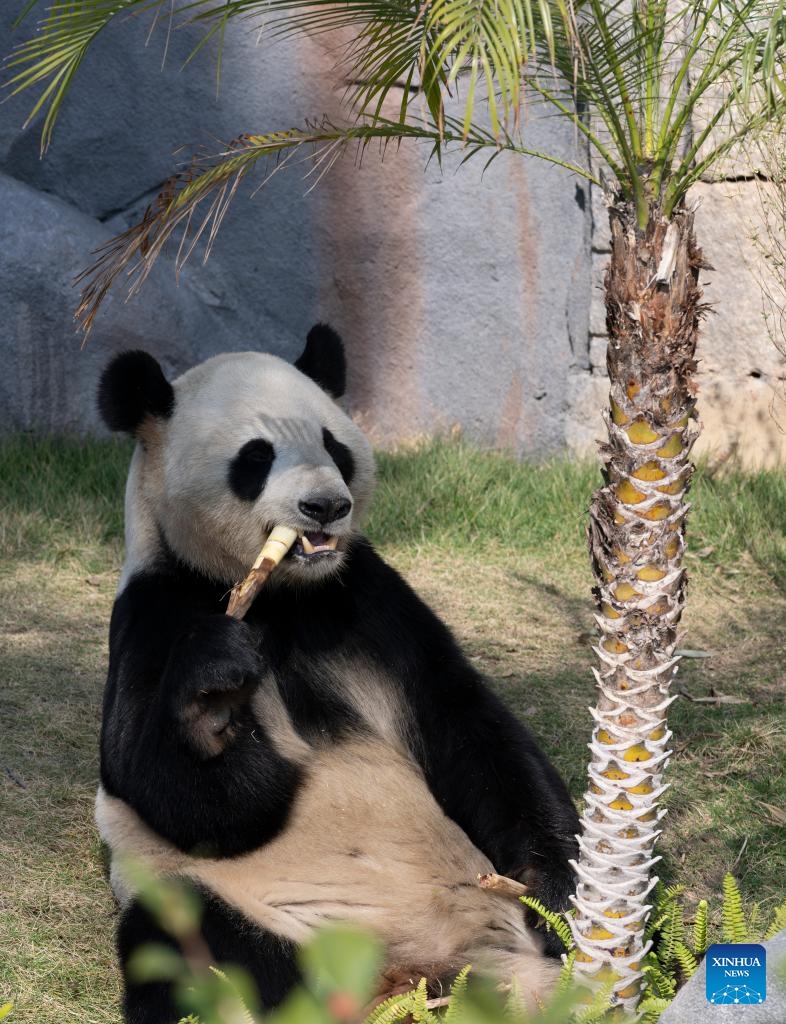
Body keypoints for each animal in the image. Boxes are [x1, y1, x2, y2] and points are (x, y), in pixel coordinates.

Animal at [94, 324, 580, 1023]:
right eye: (256, 457)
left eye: (334, 446)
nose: (325, 505)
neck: (281, 594)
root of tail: (440, 970)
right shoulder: (153, 612)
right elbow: (175, 792)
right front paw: (215, 695)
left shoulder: (369, 601)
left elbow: (469, 727)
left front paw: (559, 896)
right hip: (261, 917)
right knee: (186, 940)